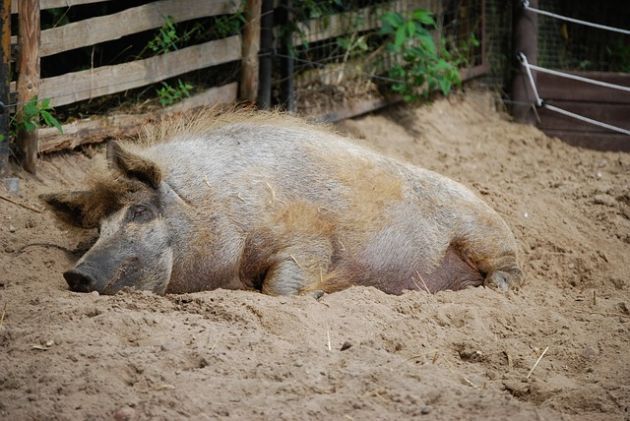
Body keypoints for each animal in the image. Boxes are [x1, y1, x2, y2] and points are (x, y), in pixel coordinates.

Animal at [44, 111, 524, 296]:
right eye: (98, 228)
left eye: (141, 211)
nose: (75, 273)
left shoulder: (313, 243)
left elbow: (280, 285)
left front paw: (319, 293)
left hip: (483, 232)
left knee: (510, 270)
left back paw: (494, 288)